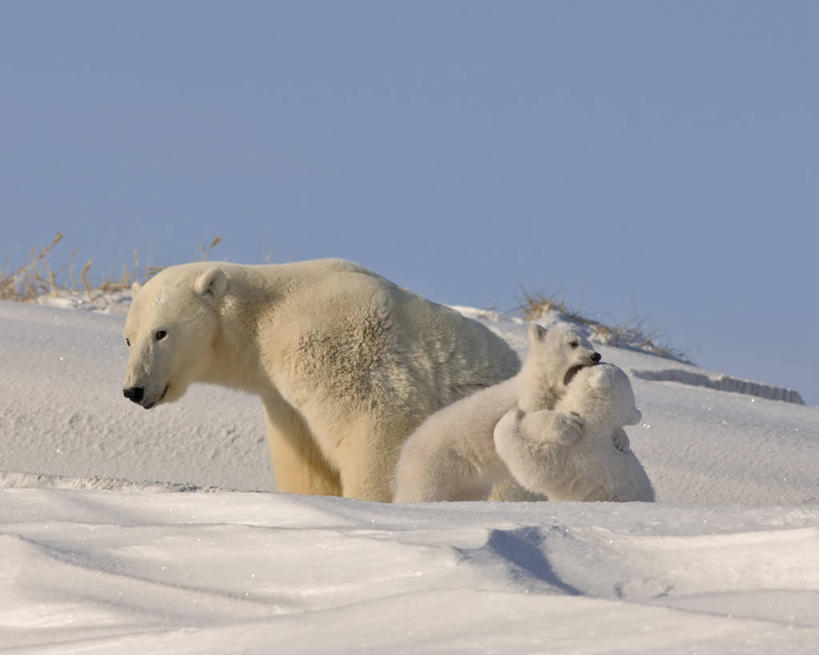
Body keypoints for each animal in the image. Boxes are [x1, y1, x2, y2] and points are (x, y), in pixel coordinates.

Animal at [121, 258, 520, 500]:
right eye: (128, 338)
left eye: (161, 333)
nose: (133, 389)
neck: (264, 320)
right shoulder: (283, 401)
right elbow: (306, 463)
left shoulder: (333, 342)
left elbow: (379, 426)